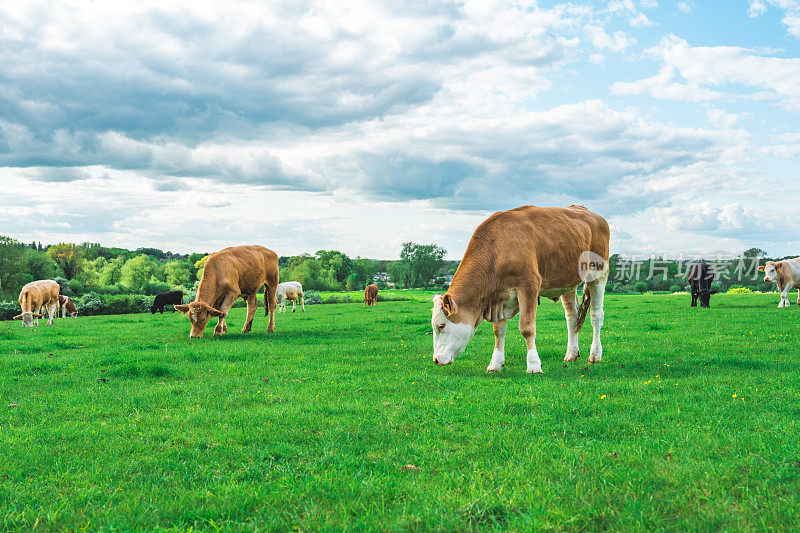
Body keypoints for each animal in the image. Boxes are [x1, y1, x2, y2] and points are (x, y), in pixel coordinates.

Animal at [432, 205, 612, 374]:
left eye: (440, 325)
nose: (436, 360)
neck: (498, 248)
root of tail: (584, 209)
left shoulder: (529, 285)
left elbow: (527, 328)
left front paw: (534, 365)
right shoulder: (498, 297)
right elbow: (498, 331)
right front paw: (495, 363)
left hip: (599, 273)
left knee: (596, 315)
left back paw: (595, 354)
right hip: (567, 282)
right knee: (572, 316)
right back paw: (571, 354)